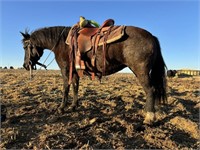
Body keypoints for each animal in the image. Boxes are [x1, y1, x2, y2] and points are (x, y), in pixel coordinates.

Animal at [20, 25, 167, 125]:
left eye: (25, 47)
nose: (25, 65)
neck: (62, 42)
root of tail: (152, 37)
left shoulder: (66, 70)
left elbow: (66, 88)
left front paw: (61, 108)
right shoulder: (75, 72)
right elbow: (75, 87)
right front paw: (74, 106)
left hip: (141, 71)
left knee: (150, 90)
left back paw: (149, 117)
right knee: (153, 90)